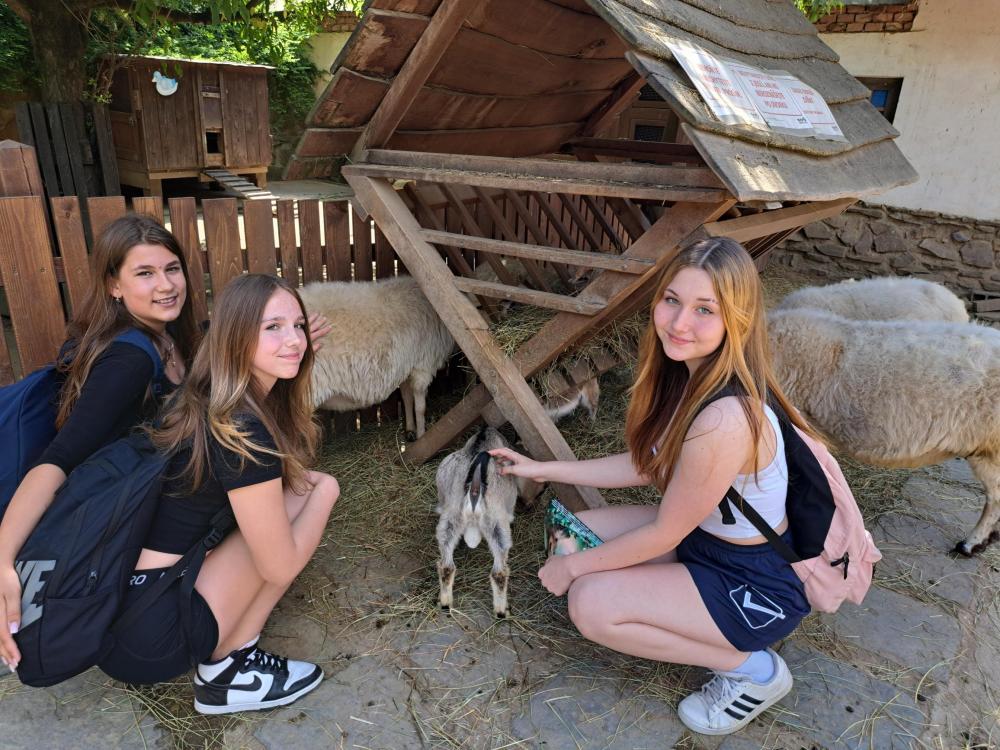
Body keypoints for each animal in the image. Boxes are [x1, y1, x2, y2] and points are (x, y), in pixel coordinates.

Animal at [298, 276, 454, 439]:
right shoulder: (423, 365)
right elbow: (421, 408)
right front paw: (422, 435)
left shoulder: (407, 366)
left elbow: (406, 397)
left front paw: (410, 430)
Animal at [435, 427, 518, 617]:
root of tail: (474, 487)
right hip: (496, 523)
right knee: (499, 572)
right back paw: (501, 611)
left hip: (451, 518)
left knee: (446, 566)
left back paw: (445, 603)